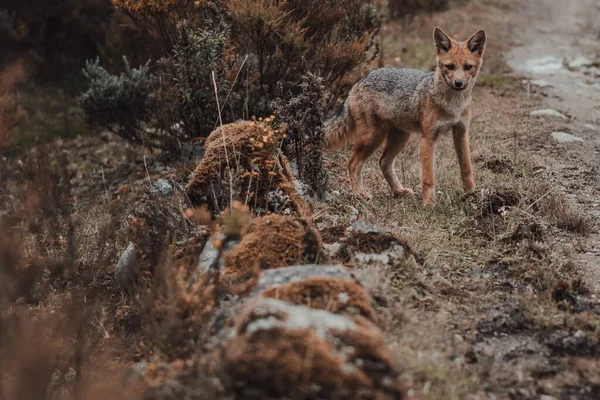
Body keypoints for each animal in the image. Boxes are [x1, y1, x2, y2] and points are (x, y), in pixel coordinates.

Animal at [324, 26, 488, 205]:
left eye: (467, 67)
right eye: (450, 67)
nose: (458, 83)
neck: (453, 105)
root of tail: (357, 83)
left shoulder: (461, 132)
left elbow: (466, 168)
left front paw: (471, 194)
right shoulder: (428, 137)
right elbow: (428, 177)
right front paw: (429, 203)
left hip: (400, 138)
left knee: (383, 162)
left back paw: (398, 191)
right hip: (373, 138)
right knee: (353, 163)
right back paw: (359, 194)